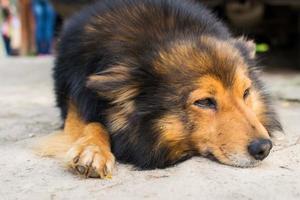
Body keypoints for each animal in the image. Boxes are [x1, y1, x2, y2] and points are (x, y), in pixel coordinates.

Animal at [39, 0, 282, 178]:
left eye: (246, 93)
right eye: (204, 102)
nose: (264, 148)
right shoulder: (77, 98)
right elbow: (91, 123)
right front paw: (92, 150)